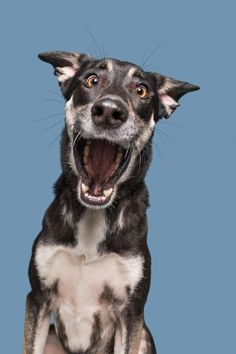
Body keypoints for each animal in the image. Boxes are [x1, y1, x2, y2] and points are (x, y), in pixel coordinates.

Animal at [22, 50, 199, 354]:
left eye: (142, 90)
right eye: (92, 80)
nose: (108, 111)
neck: (94, 217)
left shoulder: (131, 312)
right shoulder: (38, 297)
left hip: (144, 337)